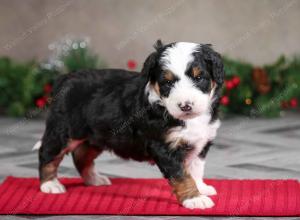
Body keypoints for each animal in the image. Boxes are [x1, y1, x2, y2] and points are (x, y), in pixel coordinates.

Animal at [34, 40, 224, 210]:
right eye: (168, 82)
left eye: (199, 78)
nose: (185, 106)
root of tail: (65, 77)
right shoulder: (163, 146)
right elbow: (181, 175)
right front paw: (194, 199)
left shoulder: (201, 142)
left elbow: (195, 168)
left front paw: (201, 188)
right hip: (63, 130)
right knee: (47, 153)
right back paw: (50, 184)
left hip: (97, 136)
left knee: (81, 156)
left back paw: (94, 179)